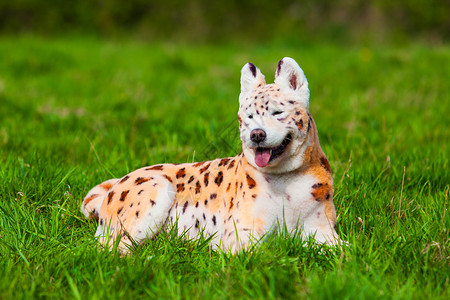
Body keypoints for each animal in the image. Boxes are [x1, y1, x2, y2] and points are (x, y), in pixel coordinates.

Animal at [81, 56, 342, 253]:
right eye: (248, 117)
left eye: (278, 113)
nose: (257, 134)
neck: (287, 181)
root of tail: (113, 187)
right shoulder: (241, 235)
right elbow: (269, 249)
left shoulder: (323, 230)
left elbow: (344, 251)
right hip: (157, 191)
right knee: (112, 248)